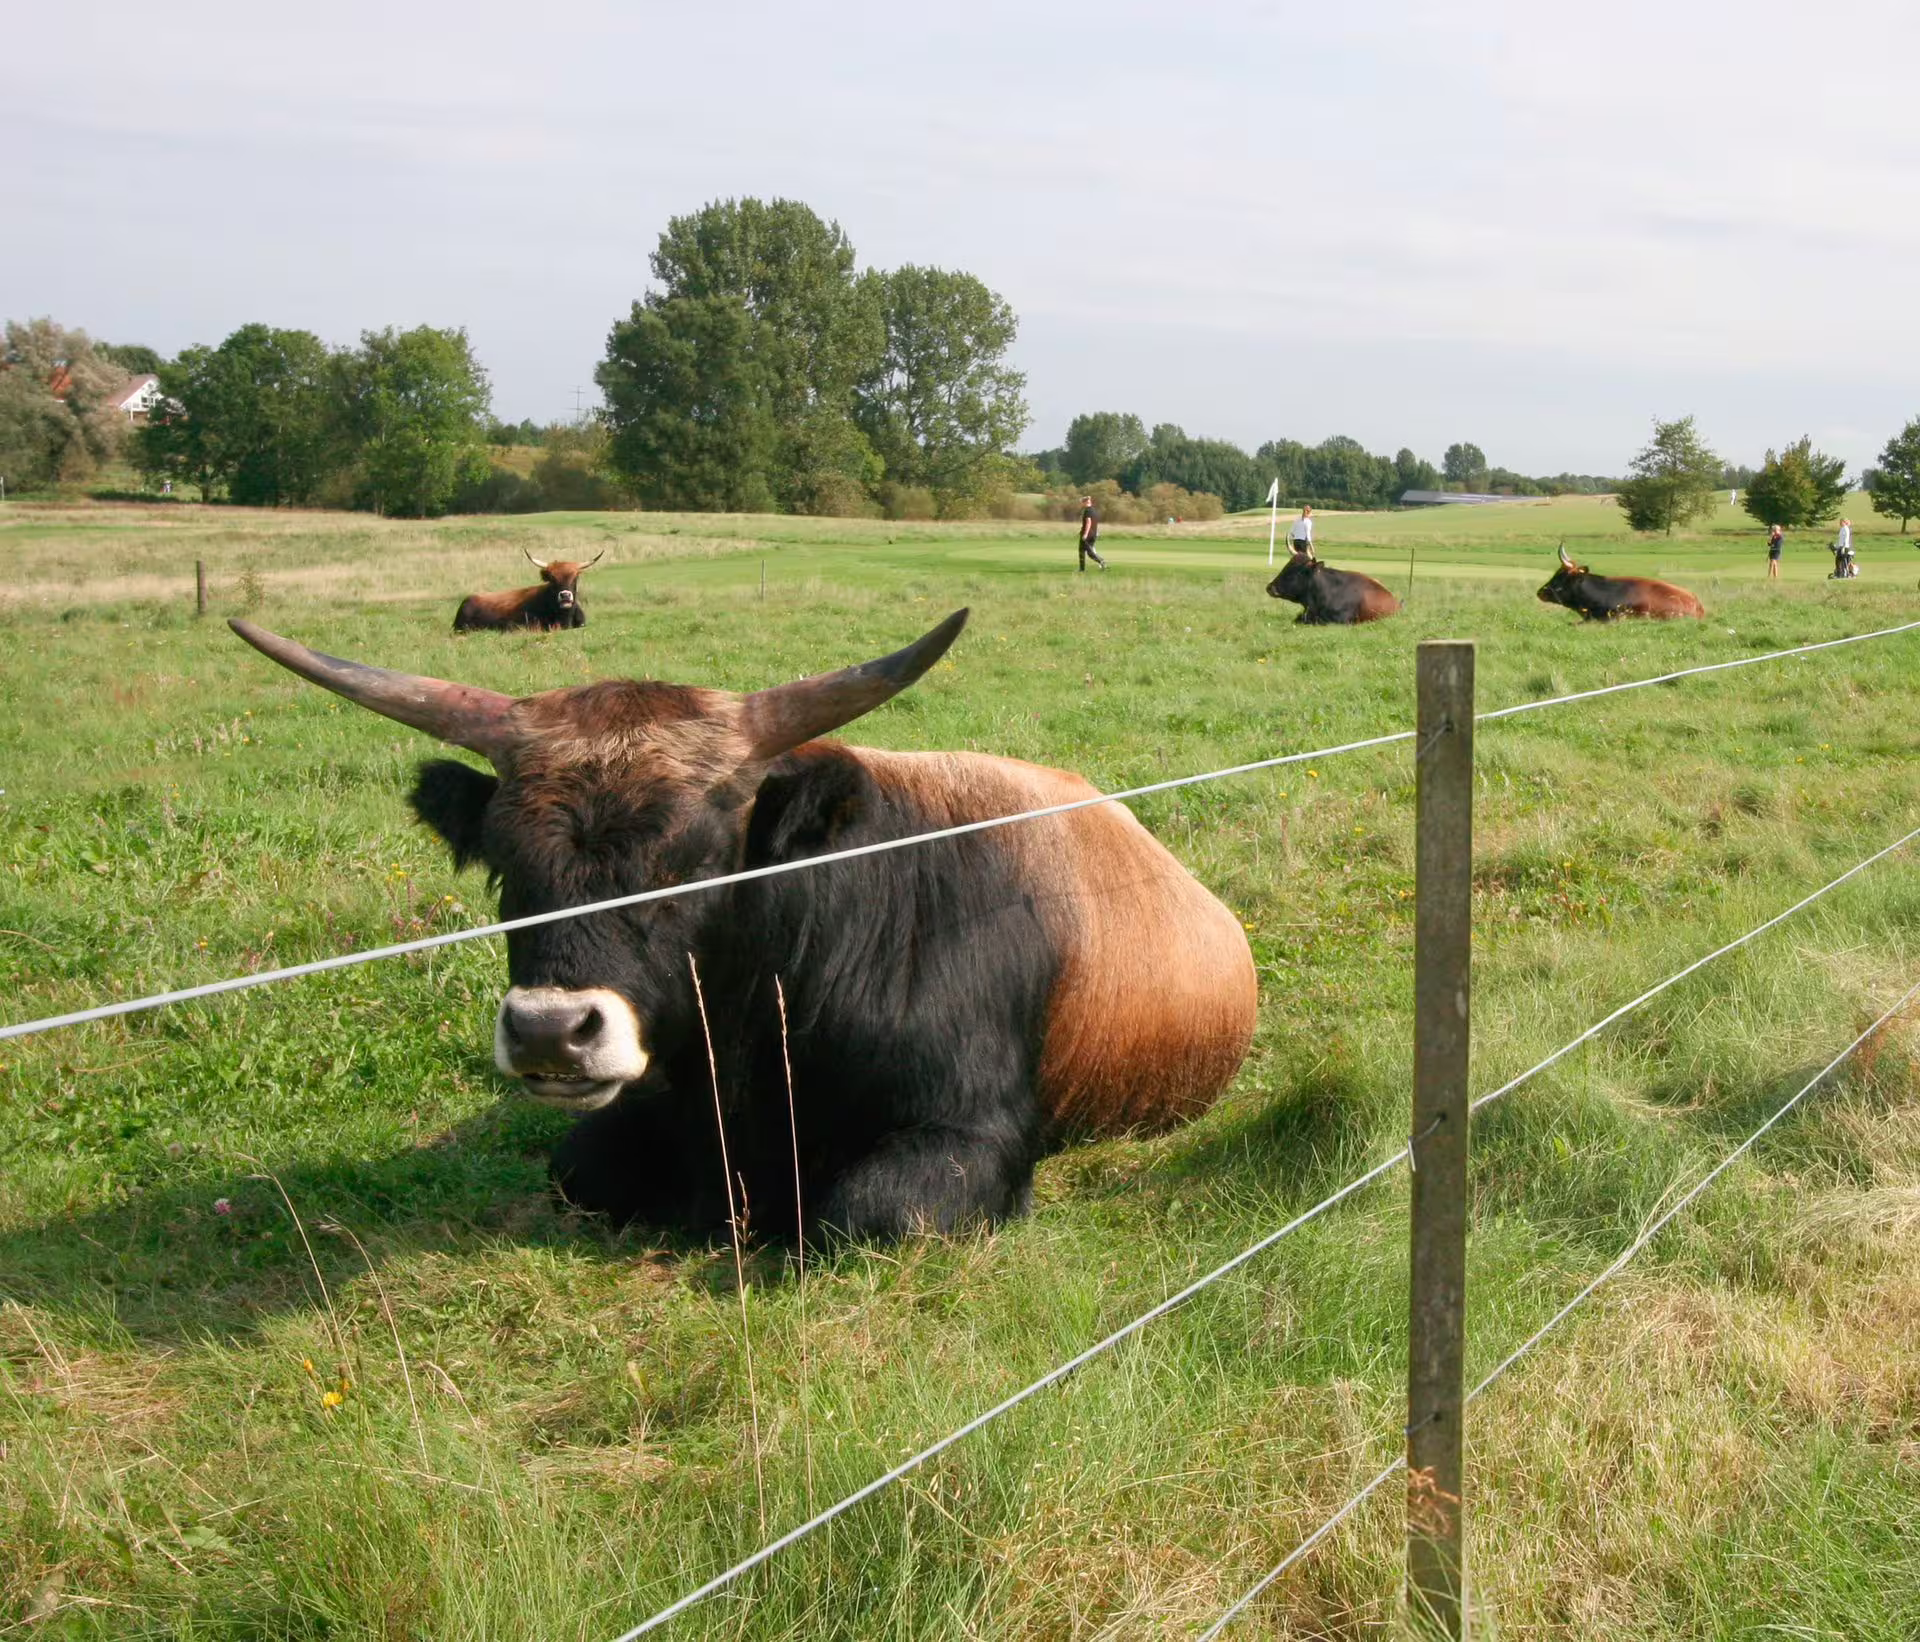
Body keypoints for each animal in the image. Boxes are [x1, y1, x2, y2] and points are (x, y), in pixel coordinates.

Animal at [229, 613, 1258, 1243]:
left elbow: (867, 1214)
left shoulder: (971, 1135)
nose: (551, 1033)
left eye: (695, 860)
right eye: (507, 864)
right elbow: (575, 1168)